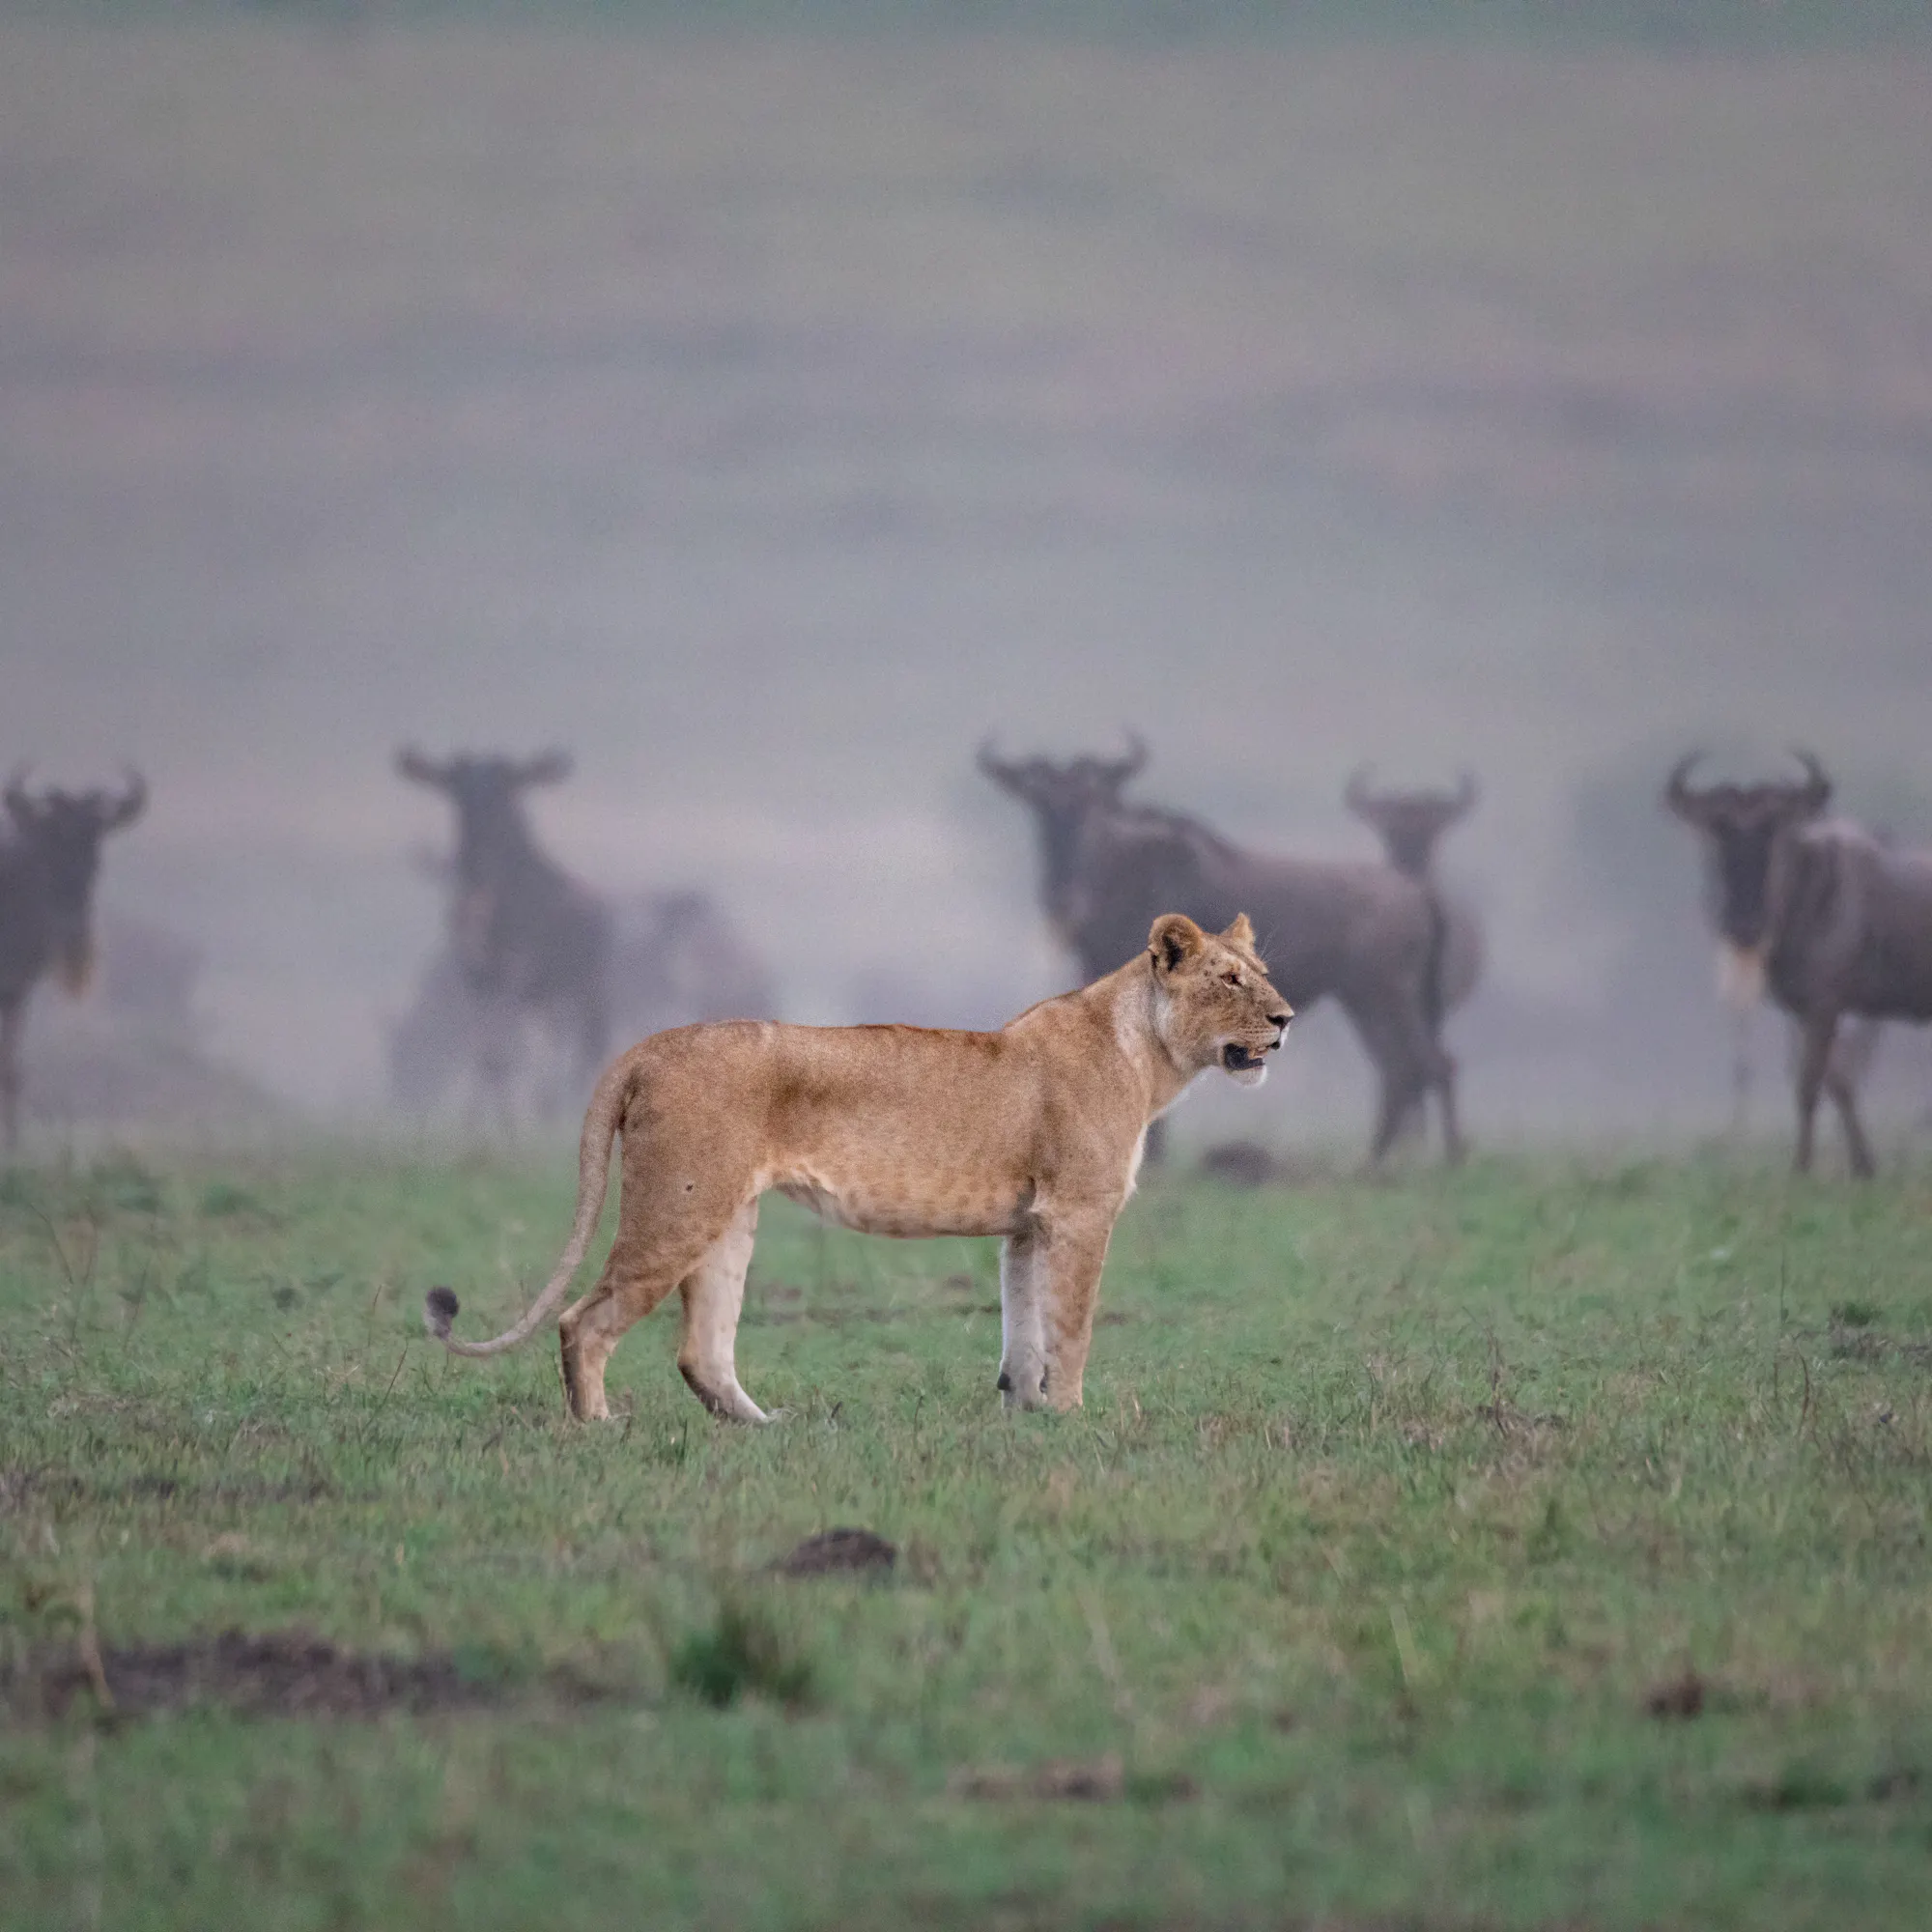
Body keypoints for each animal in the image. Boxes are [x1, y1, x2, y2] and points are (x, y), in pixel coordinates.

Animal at [423, 911, 1291, 1421]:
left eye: (1263, 975)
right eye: (1228, 979)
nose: (1286, 1019)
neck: (1146, 1055)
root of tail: (649, 1045)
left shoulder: (1028, 1226)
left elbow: (1024, 1327)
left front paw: (1025, 1413)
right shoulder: (1079, 1211)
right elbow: (1071, 1325)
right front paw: (1073, 1418)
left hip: (725, 1216)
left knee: (701, 1350)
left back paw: (765, 1430)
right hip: (677, 1207)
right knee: (584, 1321)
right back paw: (600, 1427)